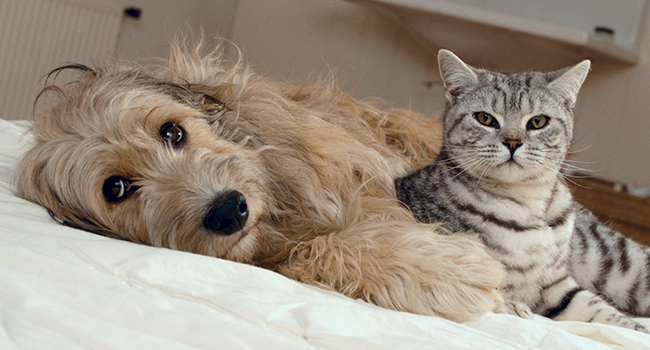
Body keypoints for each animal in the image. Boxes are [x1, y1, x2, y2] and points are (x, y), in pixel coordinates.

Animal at [392, 50, 648, 334]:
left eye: (538, 121)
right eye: (485, 118)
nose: (513, 141)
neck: (527, 204)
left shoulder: (557, 284)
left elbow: (607, 314)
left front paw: (638, 329)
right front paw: (513, 306)